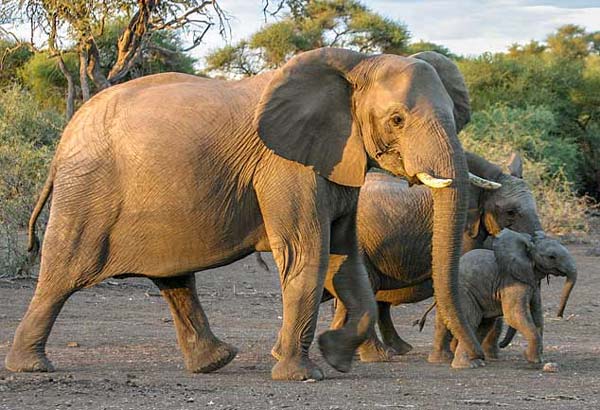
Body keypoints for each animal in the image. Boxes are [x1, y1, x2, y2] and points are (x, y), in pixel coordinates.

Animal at [5, 48, 492, 382]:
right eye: (396, 120)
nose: (471, 362)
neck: (355, 65)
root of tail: (64, 140)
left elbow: (345, 258)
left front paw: (334, 354)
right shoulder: (285, 166)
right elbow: (307, 253)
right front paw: (301, 374)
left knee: (174, 279)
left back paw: (215, 361)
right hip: (88, 191)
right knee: (65, 270)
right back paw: (31, 366)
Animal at [450, 227, 576, 368]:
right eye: (551, 257)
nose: (560, 315)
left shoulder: (532, 282)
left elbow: (537, 315)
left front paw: (537, 359)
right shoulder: (512, 280)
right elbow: (514, 315)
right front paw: (533, 360)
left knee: (484, 324)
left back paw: (471, 358)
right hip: (464, 292)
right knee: (472, 319)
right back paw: (467, 365)